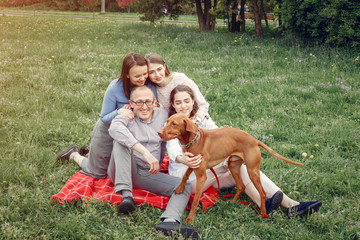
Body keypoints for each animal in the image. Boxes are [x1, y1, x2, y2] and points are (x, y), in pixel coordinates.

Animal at [159, 114, 302, 223]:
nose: (159, 132)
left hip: (252, 171)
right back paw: (232, 202)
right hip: (233, 166)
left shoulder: (201, 176)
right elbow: (184, 175)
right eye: (167, 121)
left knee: (262, 193)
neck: (194, 140)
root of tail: (254, 140)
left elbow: (194, 201)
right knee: (241, 186)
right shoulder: (192, 164)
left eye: (174, 124)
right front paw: (180, 188)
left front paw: (190, 218)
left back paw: (263, 213)